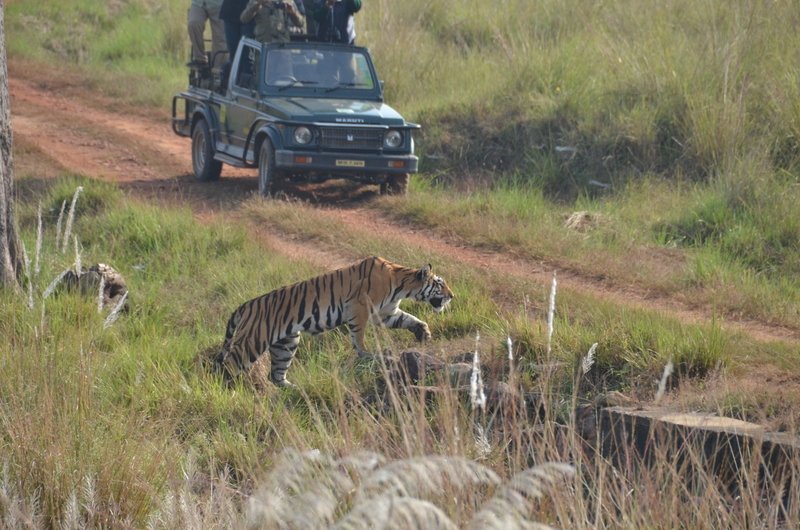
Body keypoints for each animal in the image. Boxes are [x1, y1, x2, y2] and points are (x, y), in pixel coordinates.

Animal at [214, 254, 450, 386]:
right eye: (440, 284)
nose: (453, 296)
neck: (402, 285)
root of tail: (247, 304)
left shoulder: (387, 314)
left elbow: (410, 318)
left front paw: (423, 332)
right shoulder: (359, 307)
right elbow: (359, 339)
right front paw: (369, 355)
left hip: (286, 344)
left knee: (276, 375)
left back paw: (294, 389)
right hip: (254, 341)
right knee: (230, 364)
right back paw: (230, 390)